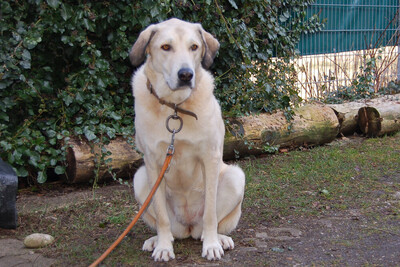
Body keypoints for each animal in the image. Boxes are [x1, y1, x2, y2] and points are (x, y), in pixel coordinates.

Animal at [130, 19, 245, 264]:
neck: (175, 107)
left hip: (235, 176)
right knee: (167, 224)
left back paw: (219, 238)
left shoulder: (210, 158)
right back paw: (156, 240)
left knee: (211, 222)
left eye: (194, 47)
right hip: (140, 178)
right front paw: (163, 247)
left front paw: (211, 245)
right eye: (165, 47)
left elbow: (210, 213)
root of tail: (189, 227)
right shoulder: (153, 164)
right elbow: (162, 217)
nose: (186, 75)